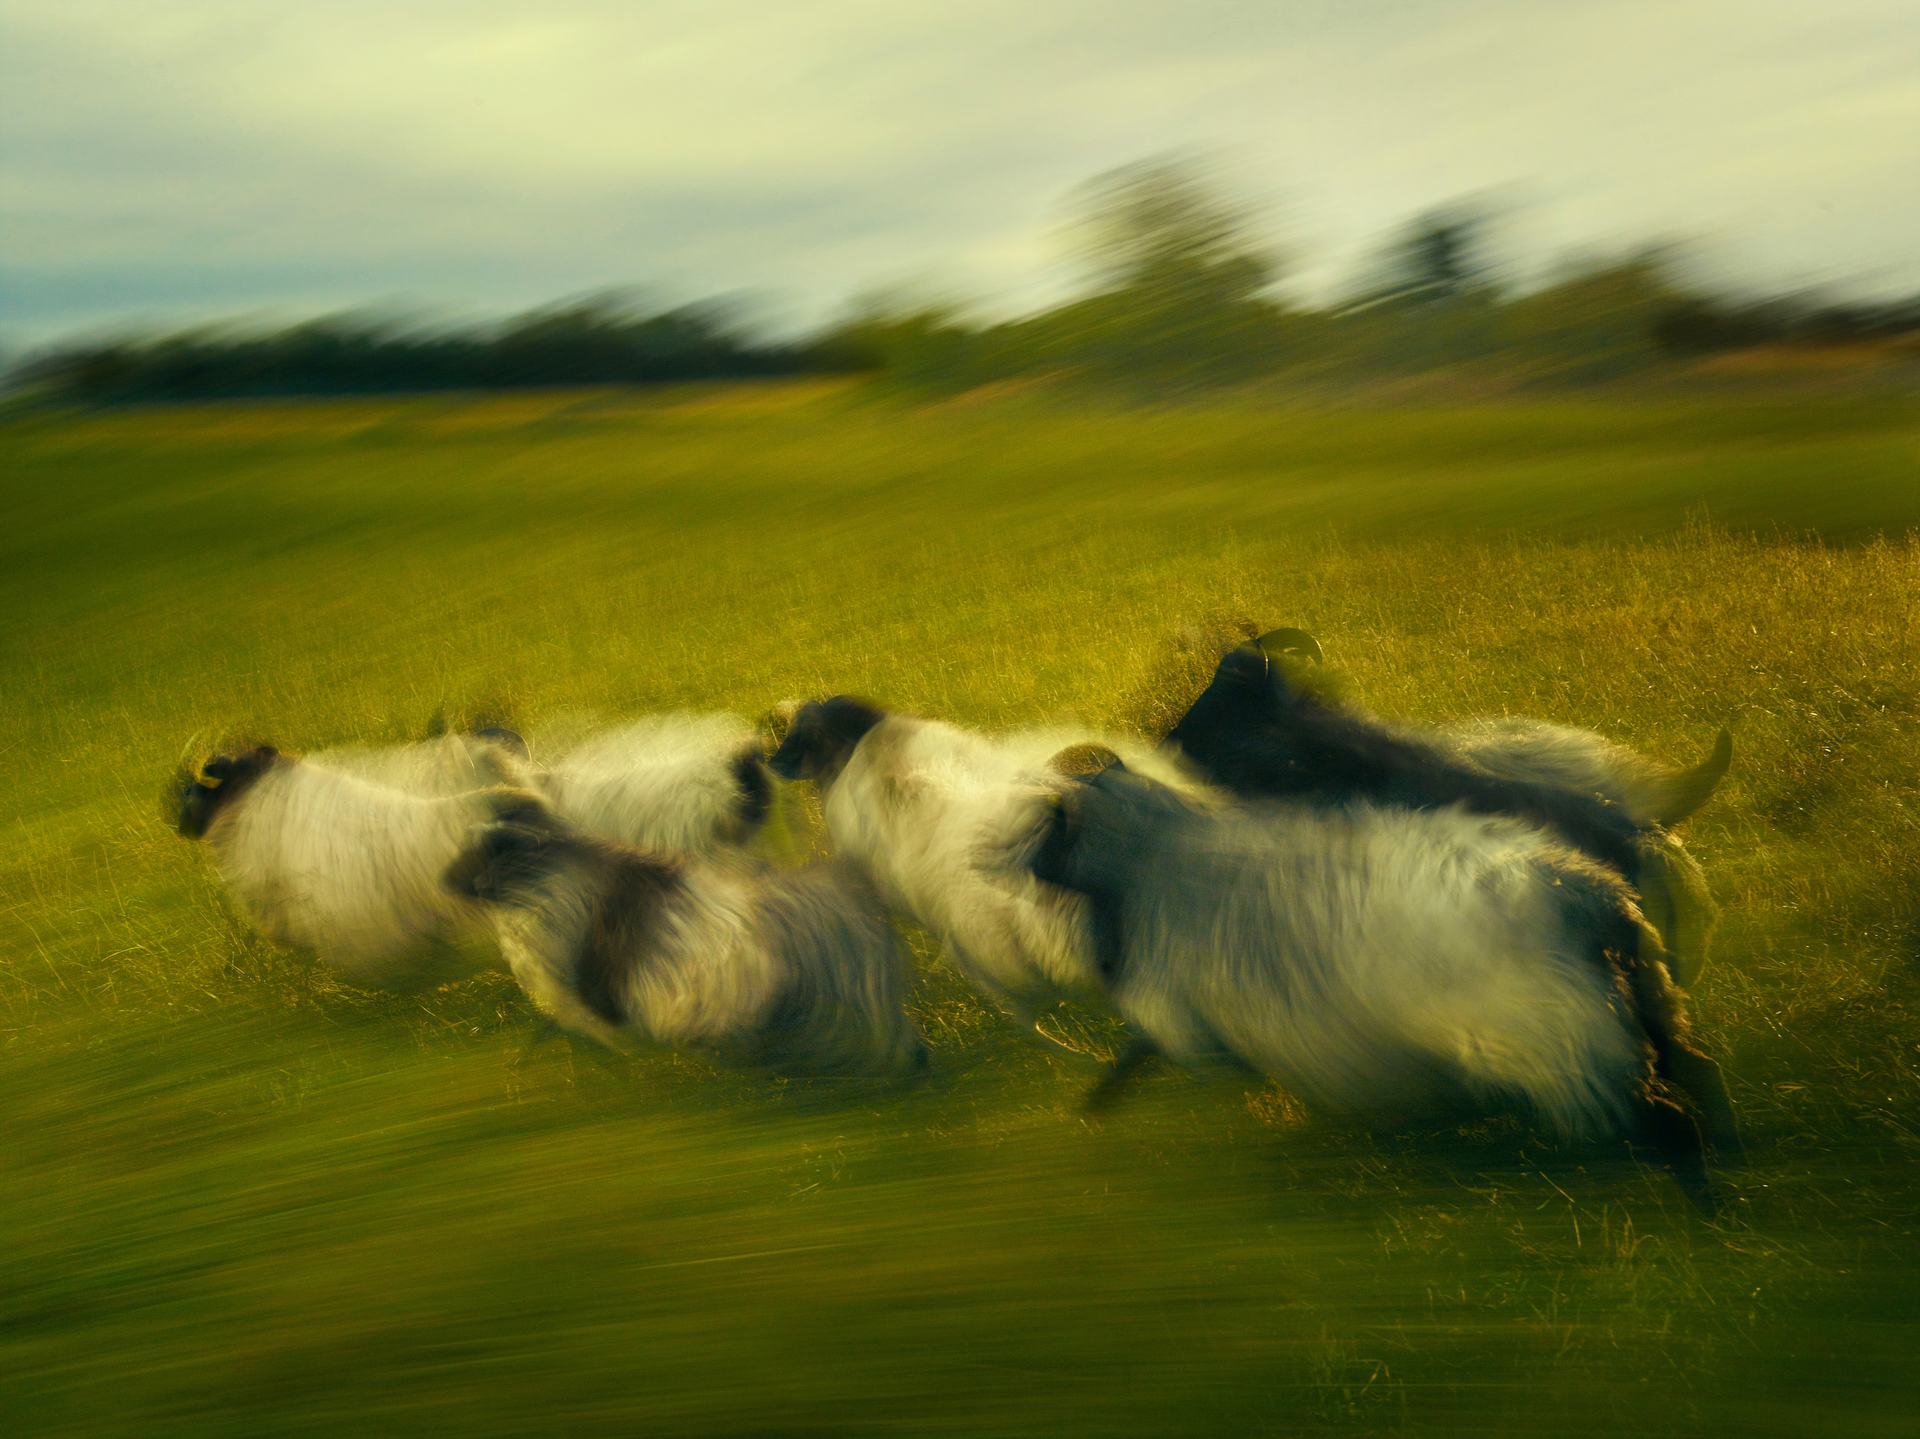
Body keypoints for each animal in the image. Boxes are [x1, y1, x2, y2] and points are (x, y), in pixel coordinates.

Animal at [1013, 768, 1751, 1206]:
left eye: (1051, 822)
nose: (1023, 866)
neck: (1156, 860)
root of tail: (1596, 901)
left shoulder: (1193, 1010)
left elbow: (1151, 1049)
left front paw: (1098, 1104)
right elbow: (1140, 1053)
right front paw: (1095, 1105)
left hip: (1570, 1045)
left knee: (1669, 1122)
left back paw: (1703, 1210)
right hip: (1647, 1005)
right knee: (1700, 1070)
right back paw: (1735, 1155)